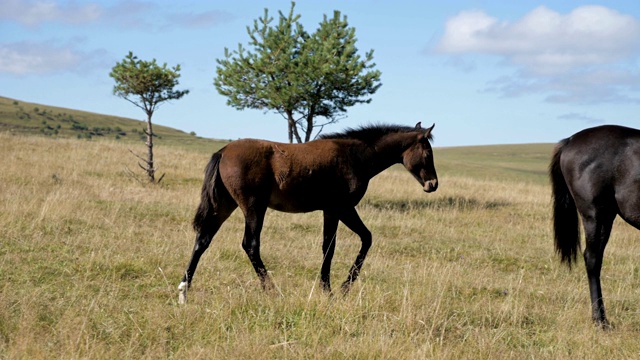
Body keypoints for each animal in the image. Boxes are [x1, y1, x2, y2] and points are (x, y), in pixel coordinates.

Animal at [178, 123, 438, 304]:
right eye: (428, 154)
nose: (433, 184)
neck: (354, 156)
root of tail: (223, 152)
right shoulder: (340, 208)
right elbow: (349, 243)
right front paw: (337, 289)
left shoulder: (331, 211)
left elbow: (336, 244)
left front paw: (332, 288)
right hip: (253, 207)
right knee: (250, 245)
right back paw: (273, 291)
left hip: (224, 206)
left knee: (203, 240)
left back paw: (183, 292)